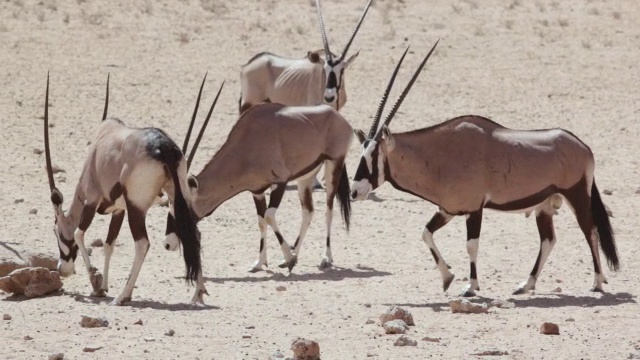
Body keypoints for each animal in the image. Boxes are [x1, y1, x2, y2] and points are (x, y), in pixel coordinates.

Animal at [43, 74, 200, 306]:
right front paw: (103, 286)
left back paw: (123, 296)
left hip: (137, 206)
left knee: (142, 243)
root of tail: (162, 147)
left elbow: (80, 233)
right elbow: (109, 244)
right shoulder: (119, 210)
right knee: (193, 232)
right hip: (178, 197)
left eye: (57, 232)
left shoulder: (91, 200)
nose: (63, 270)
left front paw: (96, 282)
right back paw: (199, 292)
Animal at [166, 83, 350, 272]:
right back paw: (295, 254)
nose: (168, 244)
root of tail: (337, 117)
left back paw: (325, 258)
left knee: (329, 210)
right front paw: (261, 262)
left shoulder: (280, 182)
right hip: (306, 177)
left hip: (334, 164)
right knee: (308, 212)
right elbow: (261, 221)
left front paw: (289, 258)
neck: (246, 144)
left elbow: (269, 216)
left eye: (179, 210)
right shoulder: (257, 190)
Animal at [350, 40, 620, 296]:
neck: (441, 153)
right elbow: (426, 233)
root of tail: (584, 147)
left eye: (374, 156)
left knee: (590, 231)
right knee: (548, 240)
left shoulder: (474, 209)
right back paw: (526, 285)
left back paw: (597, 283)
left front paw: (470, 287)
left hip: (576, 195)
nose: (354, 192)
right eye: (361, 154)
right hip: (544, 205)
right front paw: (447, 278)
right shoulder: (447, 209)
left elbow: (471, 245)